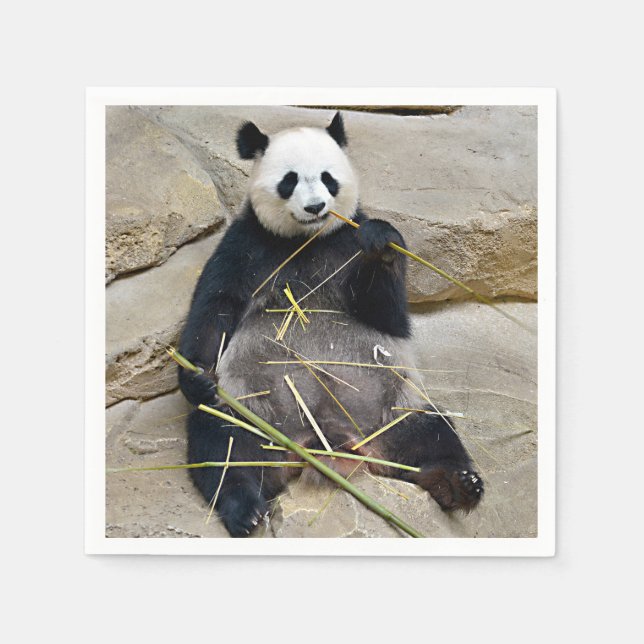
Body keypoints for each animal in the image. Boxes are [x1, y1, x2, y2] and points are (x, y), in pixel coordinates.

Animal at [178, 112, 483, 537]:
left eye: (328, 177)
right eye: (289, 180)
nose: (316, 206)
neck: (307, 241)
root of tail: (327, 444)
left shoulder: (347, 241)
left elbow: (389, 314)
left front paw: (381, 243)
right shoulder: (246, 246)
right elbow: (215, 307)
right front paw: (197, 376)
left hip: (392, 412)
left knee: (433, 434)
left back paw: (460, 485)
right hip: (253, 414)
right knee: (223, 445)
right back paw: (245, 509)